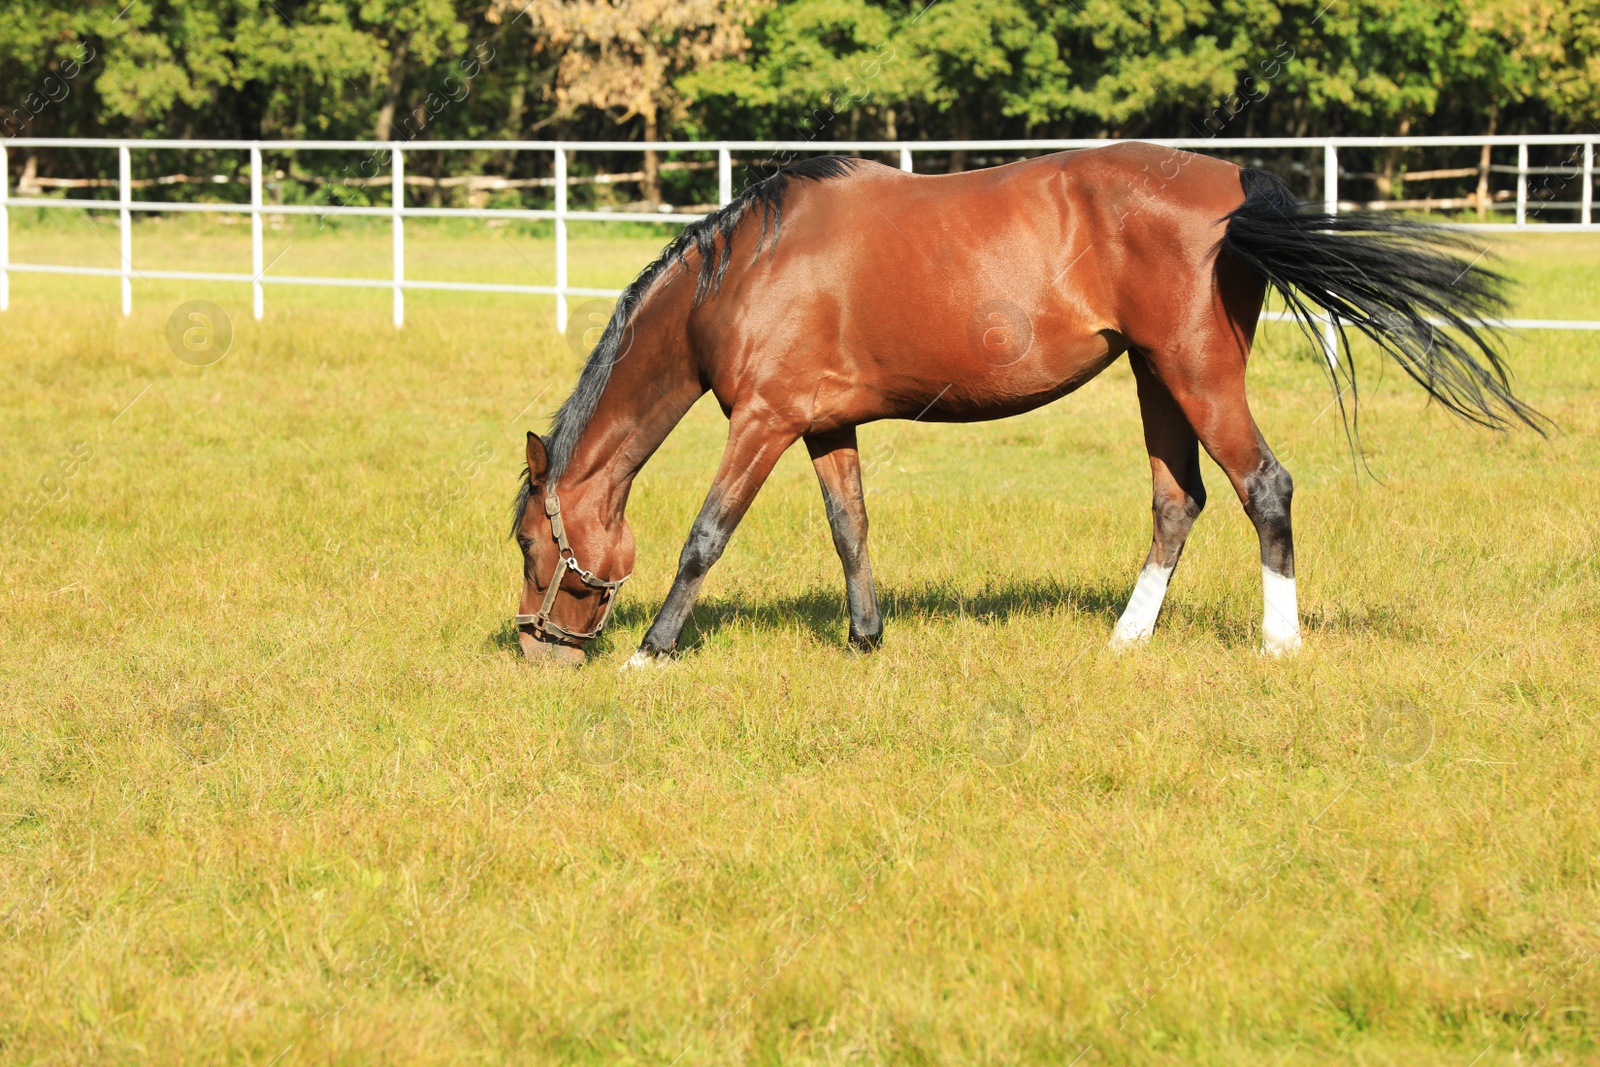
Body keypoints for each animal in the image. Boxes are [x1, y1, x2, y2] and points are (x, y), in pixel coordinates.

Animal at [512, 141, 1536, 668]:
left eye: (530, 544)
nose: (539, 649)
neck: (747, 268)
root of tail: (1236, 185)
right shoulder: (824, 423)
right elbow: (851, 528)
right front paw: (865, 638)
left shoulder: (764, 421)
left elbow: (705, 536)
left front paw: (653, 651)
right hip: (1157, 378)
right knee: (1179, 501)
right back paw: (1126, 639)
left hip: (1198, 371)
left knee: (1265, 487)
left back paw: (1277, 644)